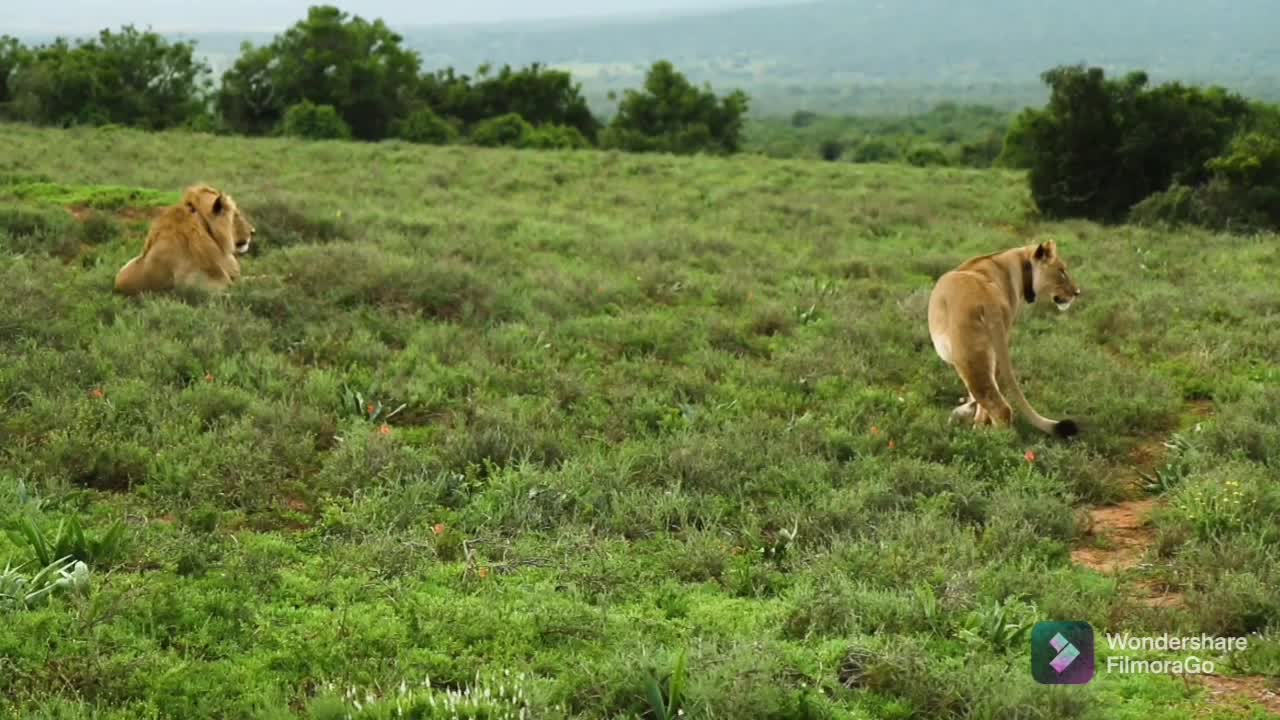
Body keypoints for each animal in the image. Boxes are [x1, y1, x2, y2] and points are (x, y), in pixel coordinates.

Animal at [931, 238, 1080, 435]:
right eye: (1062, 271)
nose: (1077, 292)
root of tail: (988, 300)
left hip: (969, 357)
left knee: (999, 407)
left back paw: (988, 439)